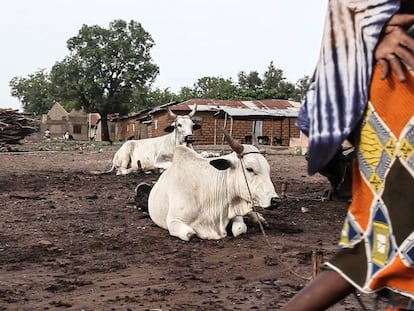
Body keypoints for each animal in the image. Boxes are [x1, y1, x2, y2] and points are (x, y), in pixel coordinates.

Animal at [147, 130, 280, 243]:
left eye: (268, 169)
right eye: (249, 169)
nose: (275, 200)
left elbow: (240, 228)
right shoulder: (173, 220)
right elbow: (191, 234)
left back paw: (260, 219)